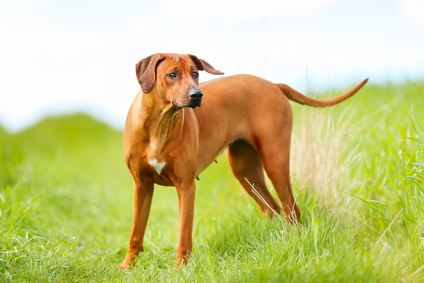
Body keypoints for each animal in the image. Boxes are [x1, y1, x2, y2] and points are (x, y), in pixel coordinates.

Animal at [119, 52, 368, 270]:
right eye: (172, 74)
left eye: (195, 73)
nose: (197, 95)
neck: (159, 125)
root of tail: (274, 85)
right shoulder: (141, 186)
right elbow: (136, 233)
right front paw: (127, 267)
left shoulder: (186, 186)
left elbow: (184, 236)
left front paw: (181, 269)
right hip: (246, 172)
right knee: (272, 208)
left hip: (275, 160)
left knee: (291, 209)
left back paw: (294, 242)